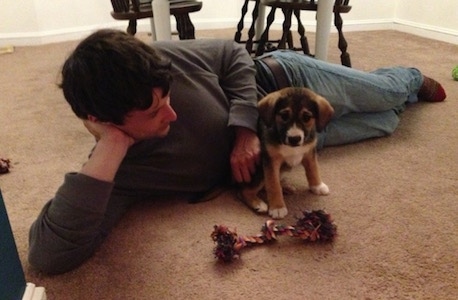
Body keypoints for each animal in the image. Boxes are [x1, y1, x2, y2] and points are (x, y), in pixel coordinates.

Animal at [240, 86, 332, 218]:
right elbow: (273, 184)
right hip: (259, 171)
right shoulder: (270, 161)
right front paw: (277, 207)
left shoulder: (309, 152)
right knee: (244, 190)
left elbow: (313, 169)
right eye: (284, 116)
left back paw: (286, 187)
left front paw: (317, 186)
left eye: (306, 118)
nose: (294, 139)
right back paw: (258, 203)